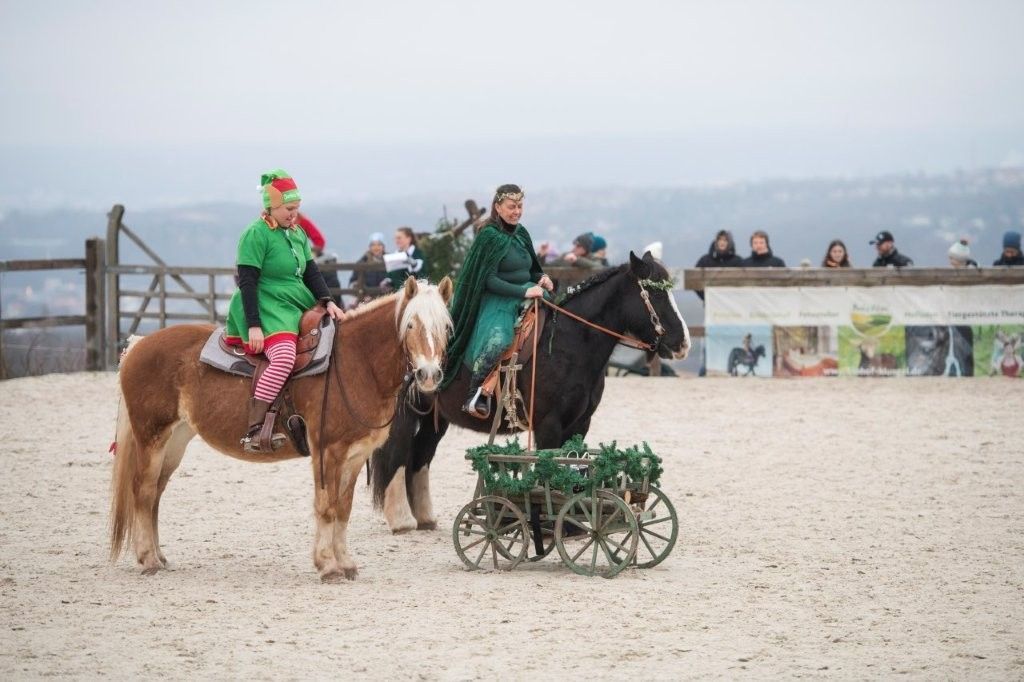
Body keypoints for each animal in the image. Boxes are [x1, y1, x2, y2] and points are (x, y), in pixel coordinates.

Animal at [109, 276, 453, 582]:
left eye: (445, 328)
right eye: (411, 325)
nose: (429, 374)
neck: (356, 362)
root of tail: (138, 345)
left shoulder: (354, 456)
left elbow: (343, 509)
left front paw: (346, 563)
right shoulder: (327, 452)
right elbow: (326, 507)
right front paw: (327, 566)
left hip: (176, 440)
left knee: (156, 494)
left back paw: (159, 556)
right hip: (151, 437)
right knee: (143, 491)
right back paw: (148, 559)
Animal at [370, 251, 690, 533]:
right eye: (656, 294)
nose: (682, 343)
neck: (568, 344)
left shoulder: (580, 424)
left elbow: (570, 466)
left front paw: (571, 524)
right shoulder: (547, 425)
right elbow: (550, 471)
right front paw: (551, 525)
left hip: (435, 418)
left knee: (421, 456)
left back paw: (425, 518)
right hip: (405, 412)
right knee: (398, 454)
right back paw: (402, 521)